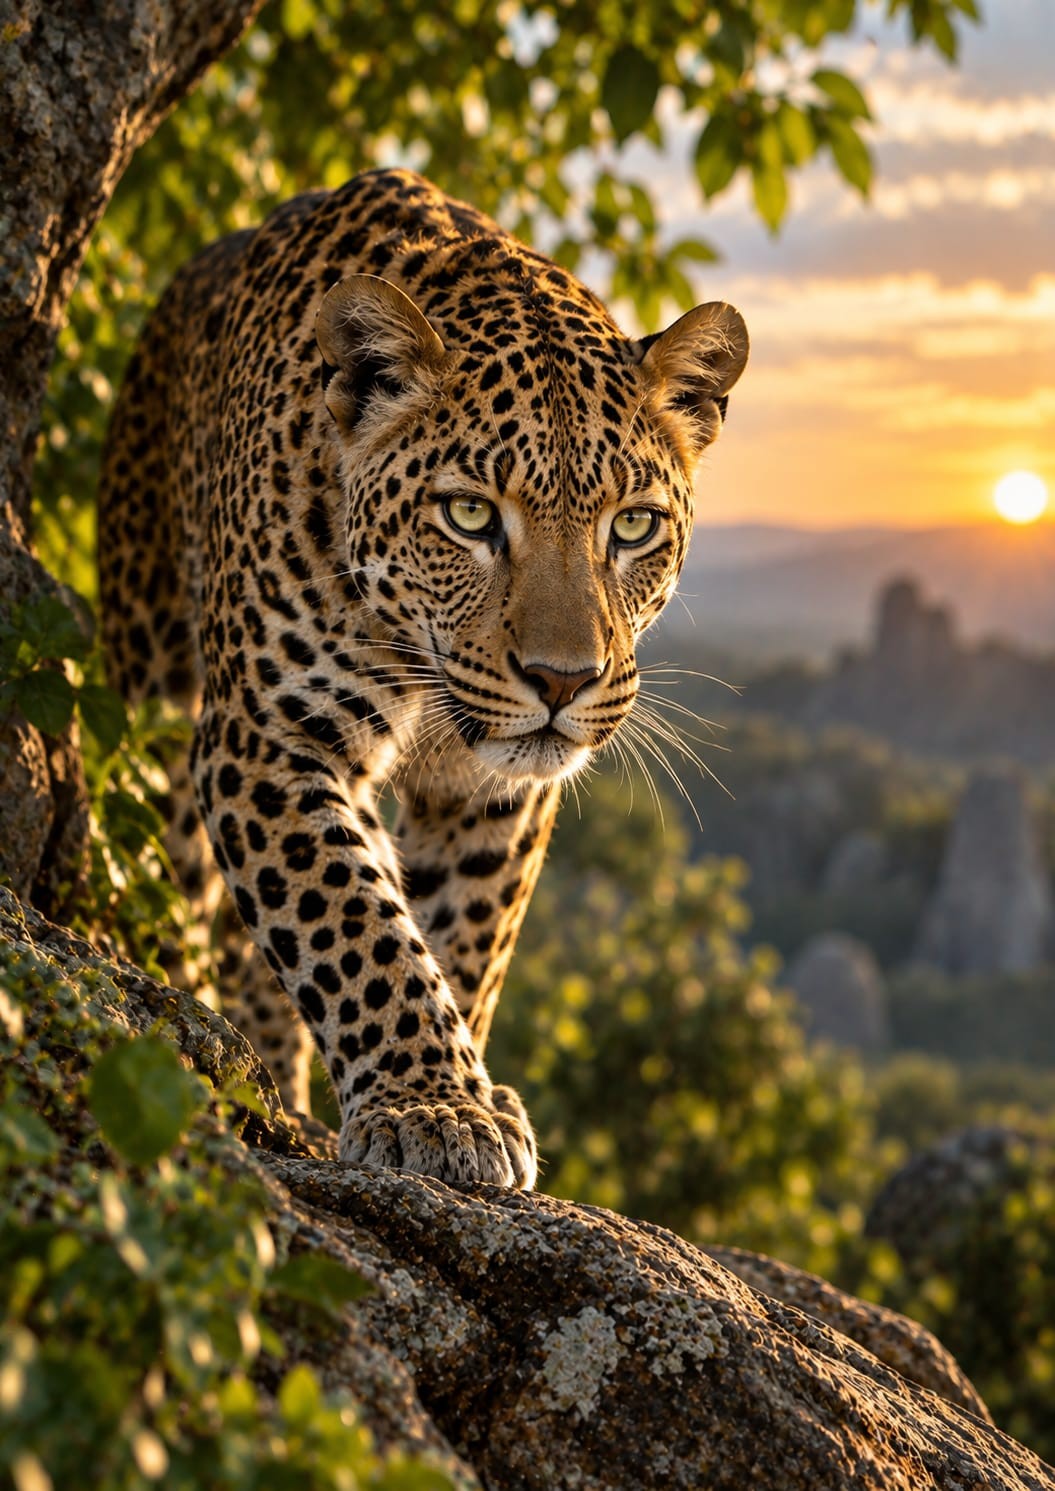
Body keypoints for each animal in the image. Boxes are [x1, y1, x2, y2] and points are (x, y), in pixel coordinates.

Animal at [98, 168, 748, 1190]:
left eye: (633, 525)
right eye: (470, 515)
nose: (561, 681)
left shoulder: (493, 791)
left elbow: (461, 936)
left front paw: (467, 1085)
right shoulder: (270, 737)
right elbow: (352, 921)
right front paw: (434, 1104)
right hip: (150, 677)